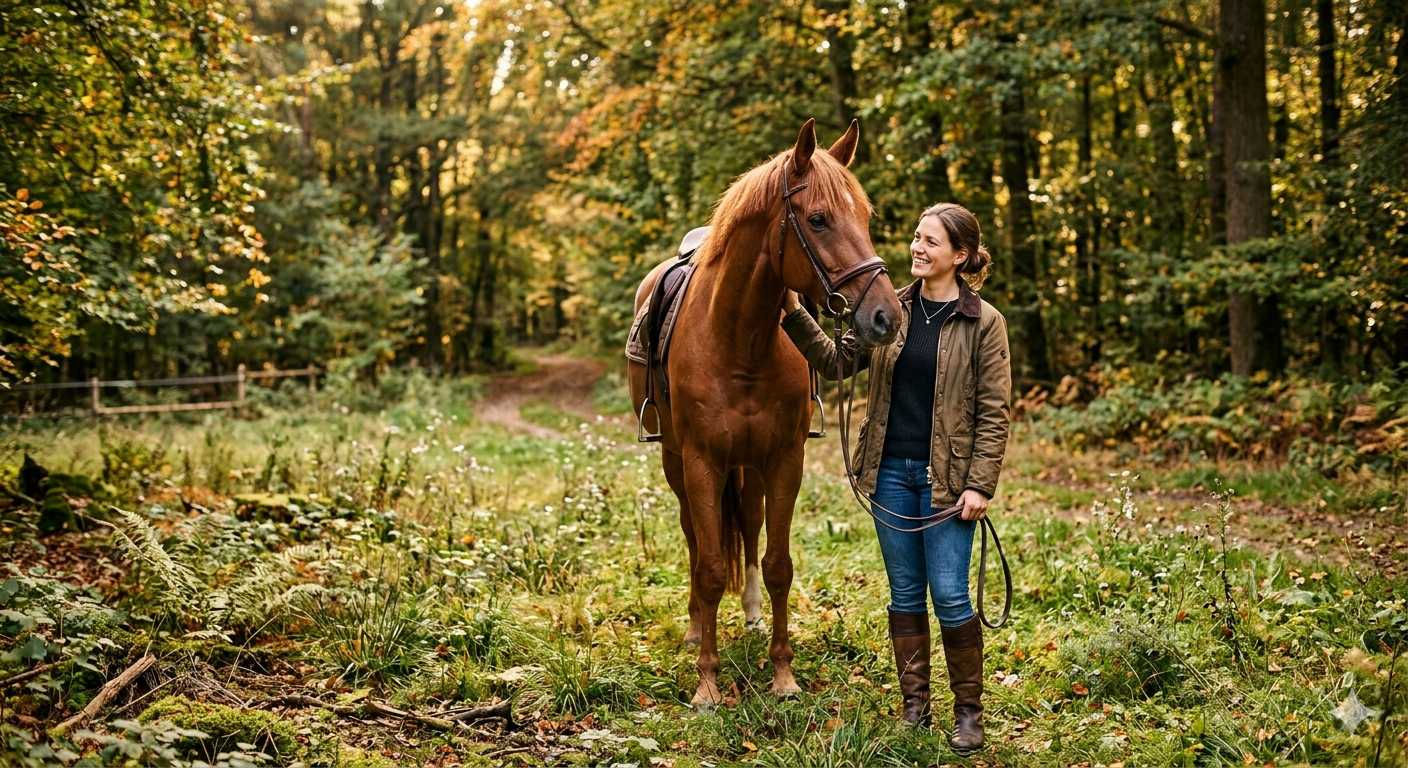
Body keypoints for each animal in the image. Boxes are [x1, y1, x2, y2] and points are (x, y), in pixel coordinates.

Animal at [627, 118, 902, 710]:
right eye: (818, 219)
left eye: (865, 219)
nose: (886, 317)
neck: (741, 338)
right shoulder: (702, 462)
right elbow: (710, 567)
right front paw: (707, 683)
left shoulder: (783, 460)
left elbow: (778, 566)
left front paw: (783, 675)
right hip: (676, 462)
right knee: (693, 536)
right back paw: (694, 628)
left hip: (748, 466)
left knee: (749, 527)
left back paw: (751, 615)